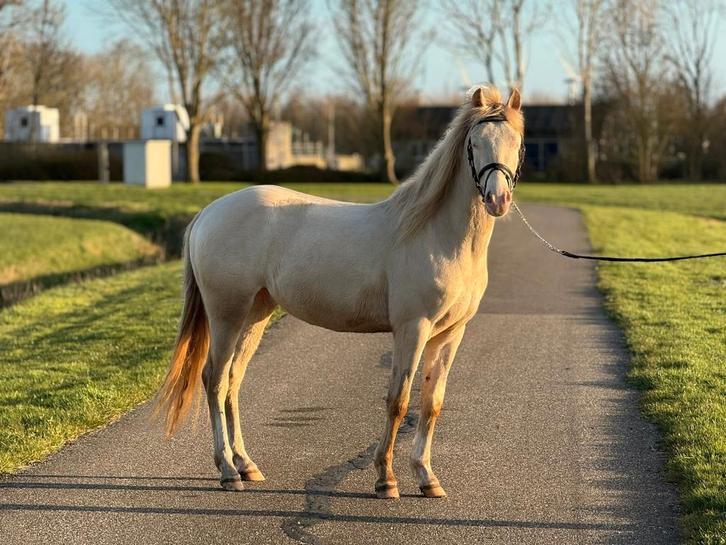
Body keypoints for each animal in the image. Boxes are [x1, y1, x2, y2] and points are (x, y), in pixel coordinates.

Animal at [156, 85, 524, 499]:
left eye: (518, 143)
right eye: (474, 144)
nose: (497, 200)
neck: (436, 235)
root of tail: (208, 212)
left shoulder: (449, 334)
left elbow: (432, 403)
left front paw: (427, 477)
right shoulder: (412, 329)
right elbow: (398, 401)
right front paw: (386, 479)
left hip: (255, 314)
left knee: (233, 380)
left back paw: (246, 465)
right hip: (226, 313)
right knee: (215, 380)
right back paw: (227, 471)